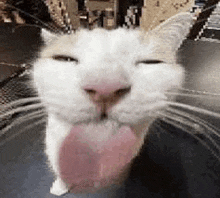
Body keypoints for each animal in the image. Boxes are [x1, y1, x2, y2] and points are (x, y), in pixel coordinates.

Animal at [31, 12, 193, 196]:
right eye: (65, 59)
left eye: (150, 62)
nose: (105, 87)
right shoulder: (54, 145)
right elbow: (60, 168)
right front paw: (60, 186)